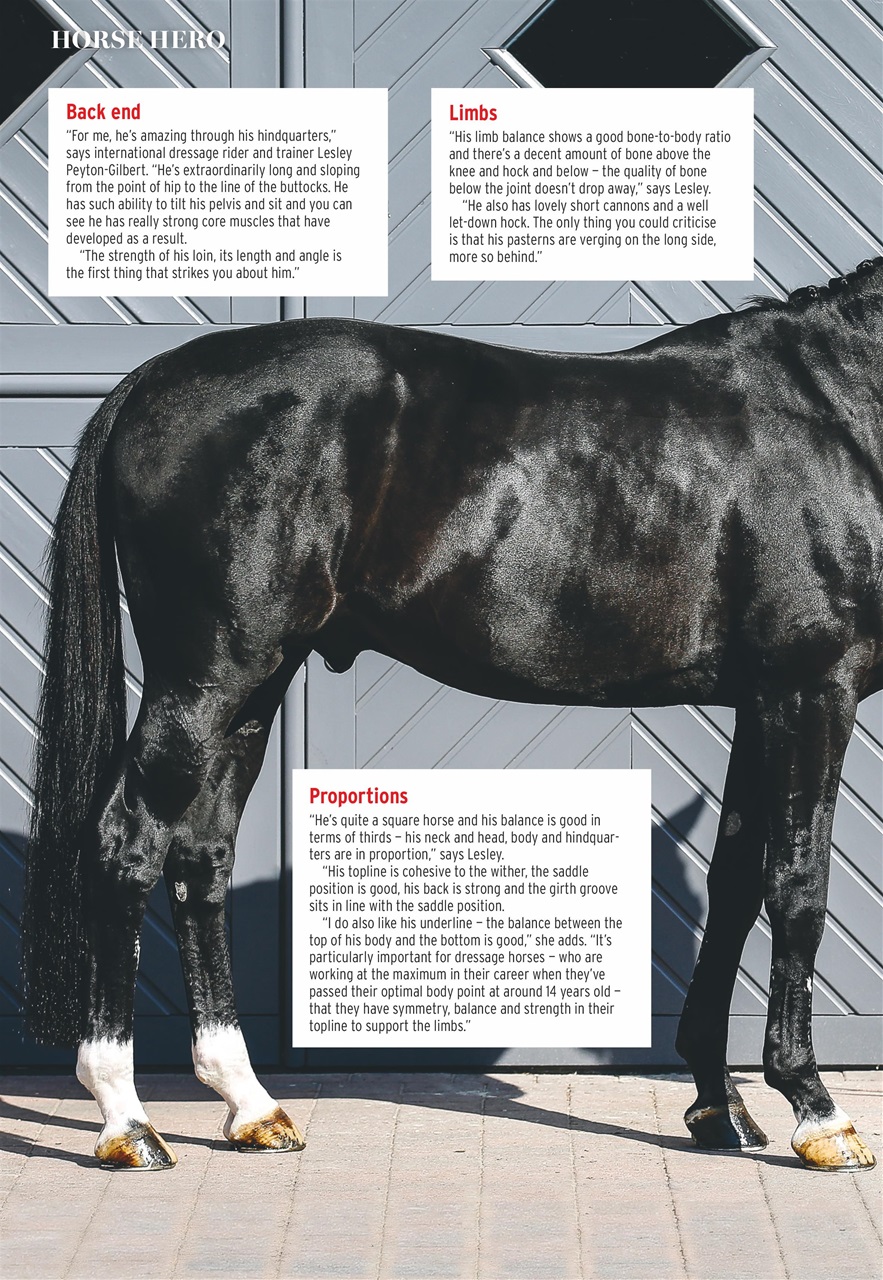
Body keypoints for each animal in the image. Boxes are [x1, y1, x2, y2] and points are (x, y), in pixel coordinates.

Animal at [23, 258, 881, 1172]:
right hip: (205, 680)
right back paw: (126, 1119)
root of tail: (153, 380)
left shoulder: (760, 704)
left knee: (199, 859)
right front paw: (817, 1111)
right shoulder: (809, 691)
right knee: (127, 845)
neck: (835, 412)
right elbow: (796, 887)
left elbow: (734, 886)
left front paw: (720, 1110)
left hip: (250, 691)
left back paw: (249, 1105)